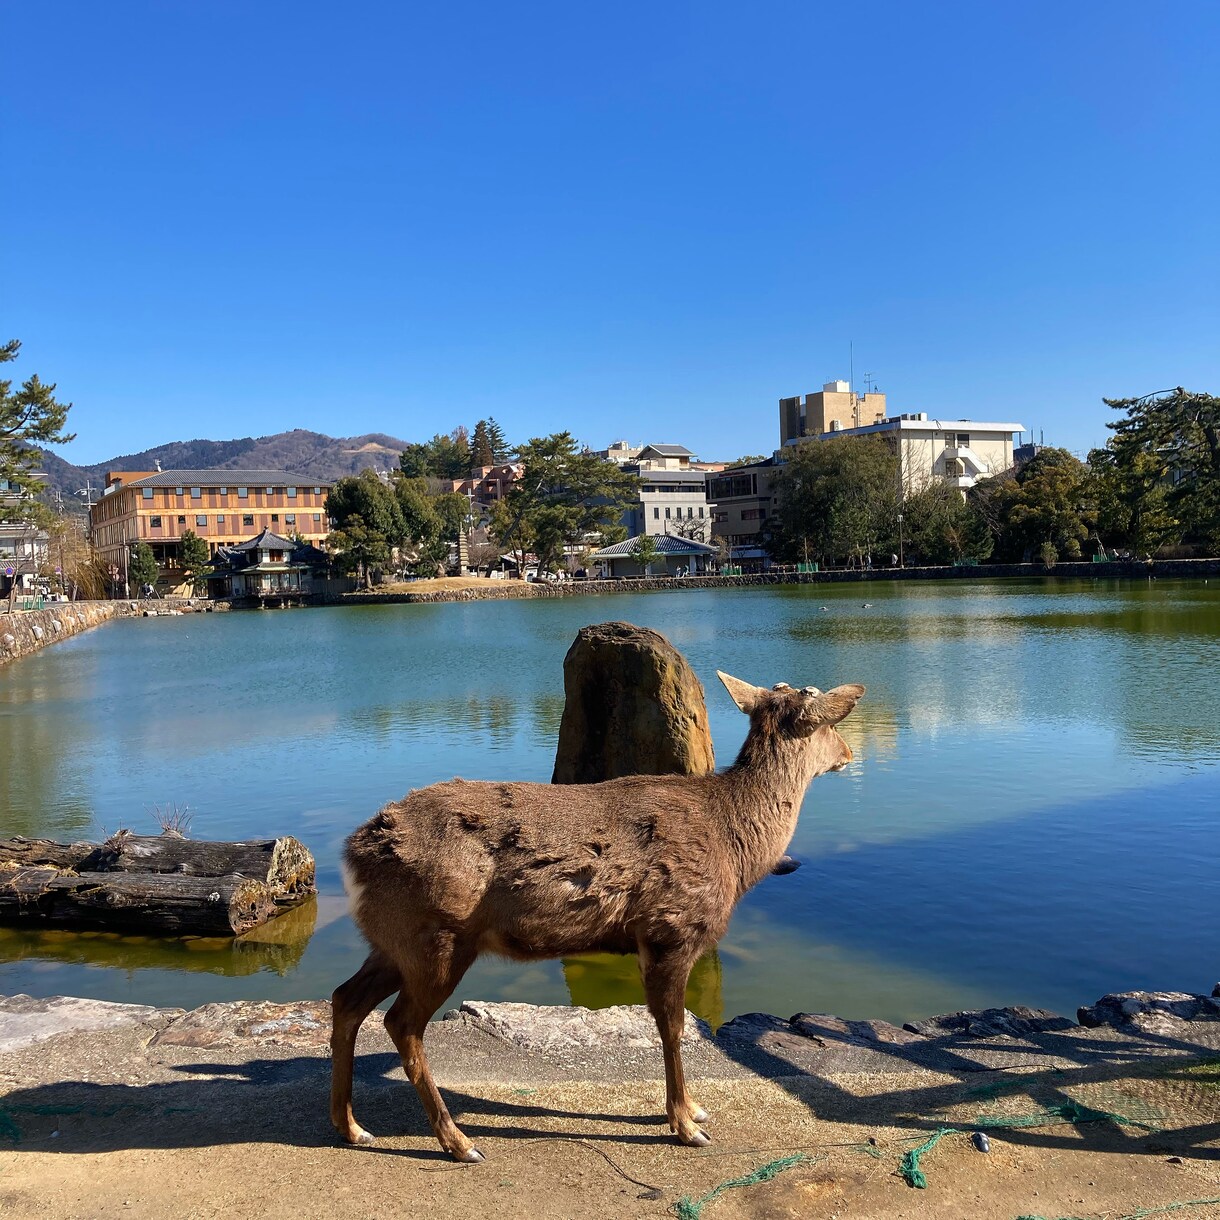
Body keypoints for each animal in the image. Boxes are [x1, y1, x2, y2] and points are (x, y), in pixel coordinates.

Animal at [330, 670, 864, 1162]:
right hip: (438, 936)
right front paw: (687, 1125)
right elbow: (673, 1028)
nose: (849, 754)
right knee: (401, 1022)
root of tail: (353, 856)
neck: (734, 848)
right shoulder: (671, 928)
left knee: (346, 999)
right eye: (829, 722)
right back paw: (458, 1142)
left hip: (392, 940)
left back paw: (351, 1127)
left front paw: (693, 1109)